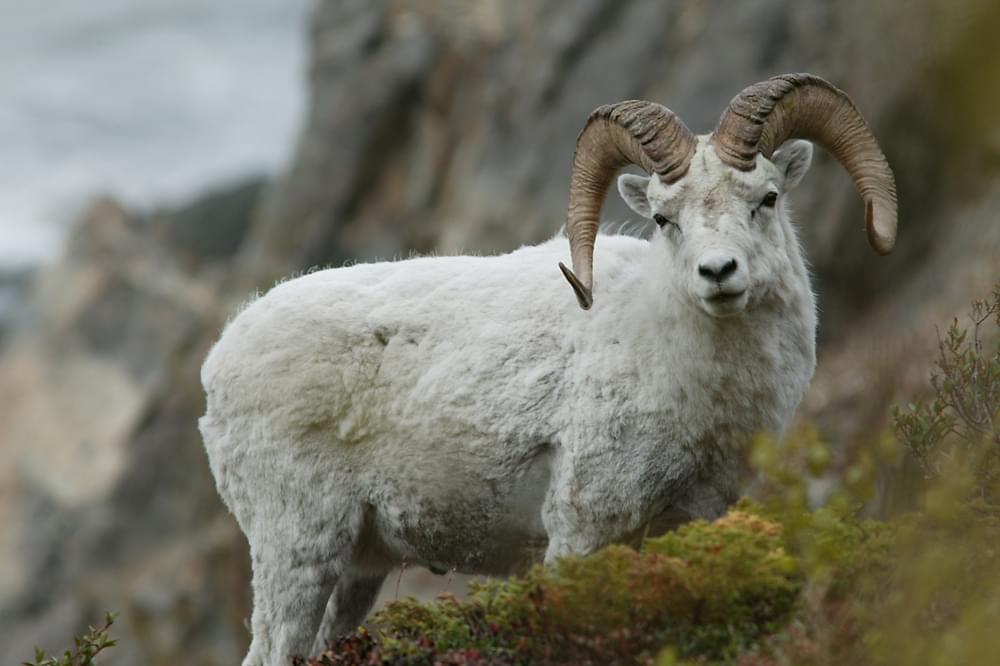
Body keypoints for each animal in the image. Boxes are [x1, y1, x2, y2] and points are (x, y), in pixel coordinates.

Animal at [199, 73, 897, 665]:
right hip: (297, 548)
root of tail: (220, 364)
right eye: (663, 218)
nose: (718, 273)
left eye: (767, 198)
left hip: (355, 571)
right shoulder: (581, 533)